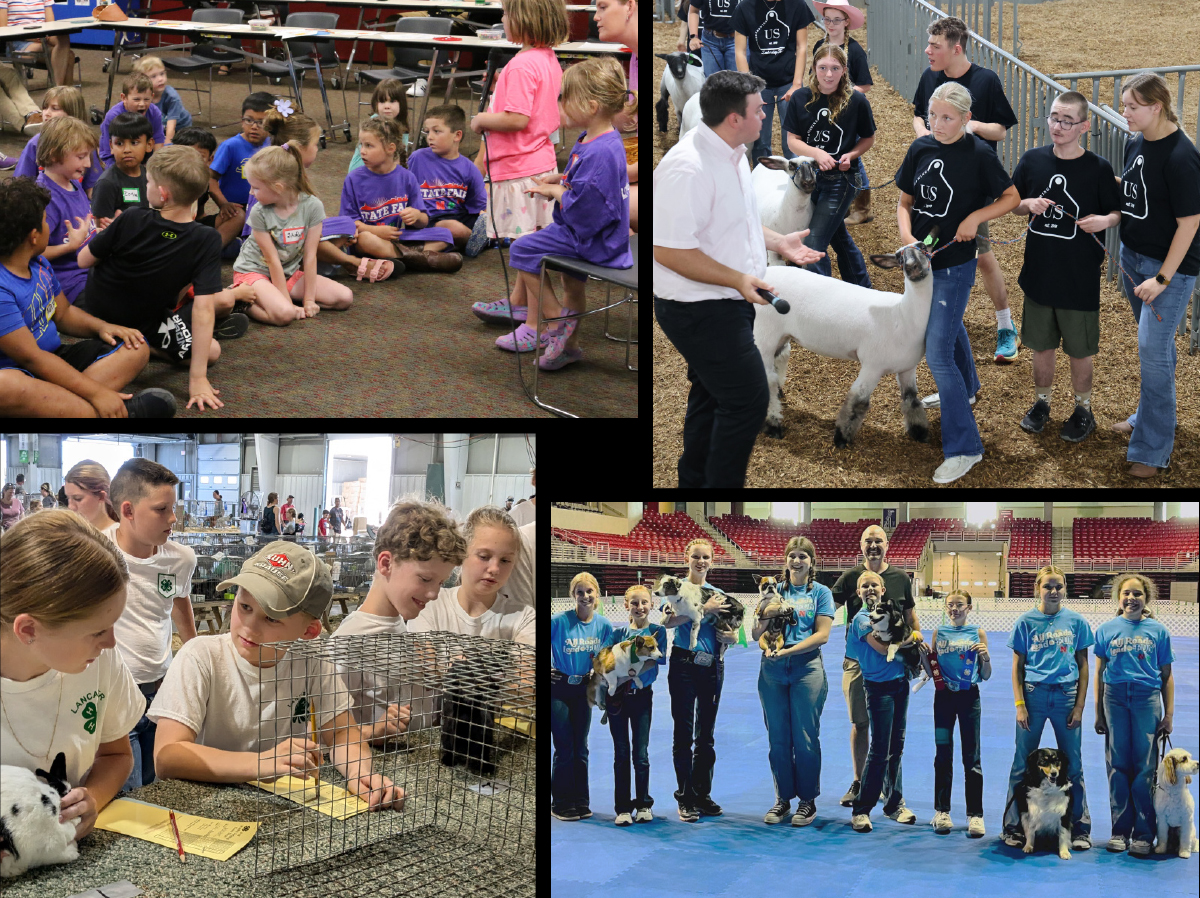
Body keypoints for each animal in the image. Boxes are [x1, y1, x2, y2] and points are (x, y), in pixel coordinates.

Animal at [748, 243, 936, 446]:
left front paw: (919, 432)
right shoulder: (873, 366)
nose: (912, 267)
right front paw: (841, 438)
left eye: (924, 248)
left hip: (780, 335)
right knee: (767, 379)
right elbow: (858, 402)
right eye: (900, 258)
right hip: (764, 334)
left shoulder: (908, 367)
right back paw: (773, 426)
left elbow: (911, 398)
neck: (903, 314)